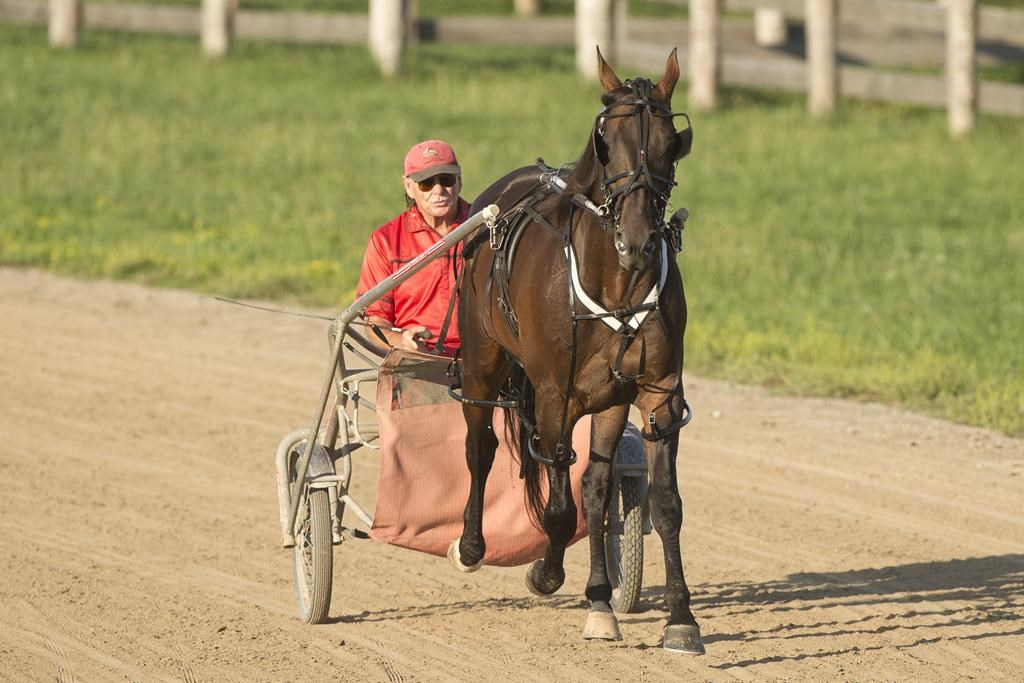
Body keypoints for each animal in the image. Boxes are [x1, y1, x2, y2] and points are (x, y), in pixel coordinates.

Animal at [450, 49, 700, 655]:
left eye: (669, 142)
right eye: (606, 140)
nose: (637, 241)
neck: (617, 284)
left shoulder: (656, 392)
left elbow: (662, 503)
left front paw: (678, 617)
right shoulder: (552, 394)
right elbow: (560, 508)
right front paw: (545, 572)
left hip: (609, 398)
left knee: (595, 484)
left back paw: (601, 597)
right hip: (483, 364)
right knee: (480, 448)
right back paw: (471, 545)